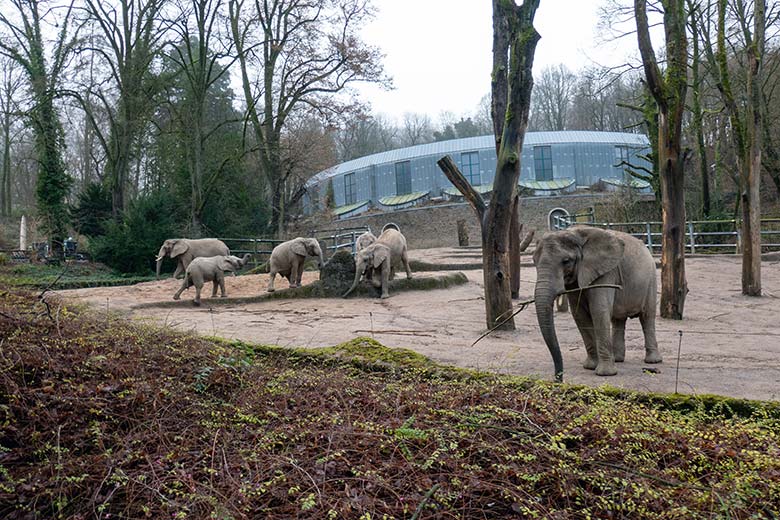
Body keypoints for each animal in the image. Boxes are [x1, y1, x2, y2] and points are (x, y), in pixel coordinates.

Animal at [532, 226, 660, 382]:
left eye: (566, 261)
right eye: (534, 261)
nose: (558, 380)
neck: (576, 234)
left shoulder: (605, 272)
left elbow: (598, 310)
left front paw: (605, 373)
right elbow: (579, 315)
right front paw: (590, 367)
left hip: (651, 279)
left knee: (647, 316)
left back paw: (653, 361)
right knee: (618, 319)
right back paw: (617, 359)